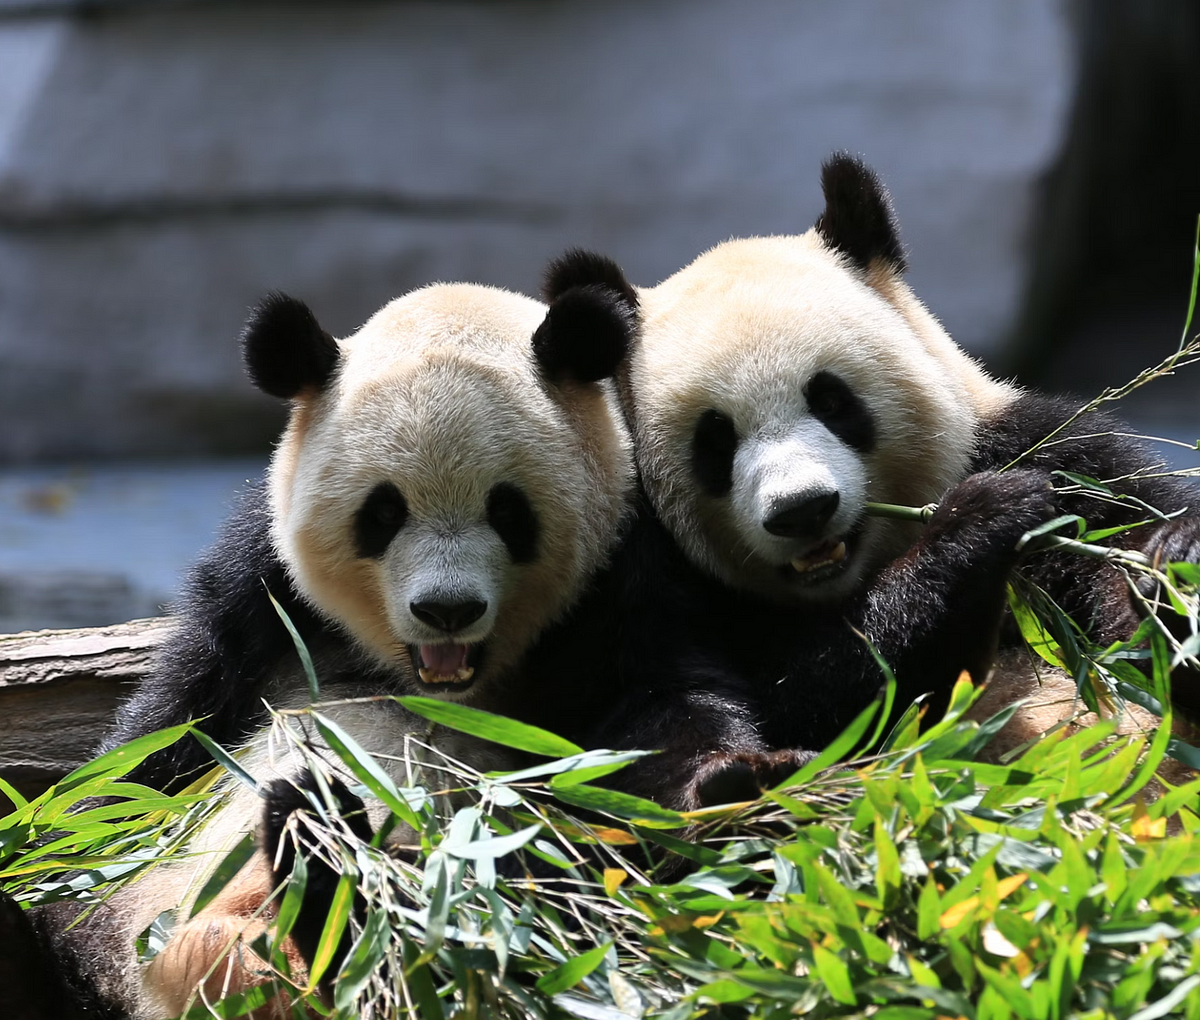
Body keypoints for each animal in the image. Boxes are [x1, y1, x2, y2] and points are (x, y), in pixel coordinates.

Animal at [27, 275, 639, 1020]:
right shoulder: (259, 590)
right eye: (383, 513)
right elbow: (156, 747)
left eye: (508, 511)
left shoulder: (622, 590)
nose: (447, 609)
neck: (436, 688)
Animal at [547, 154, 1200, 810]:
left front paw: (1174, 573)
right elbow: (734, 697)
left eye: (832, 400)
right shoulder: (633, 560)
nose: (802, 509)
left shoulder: (1048, 453)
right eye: (716, 440)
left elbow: (1123, 562)